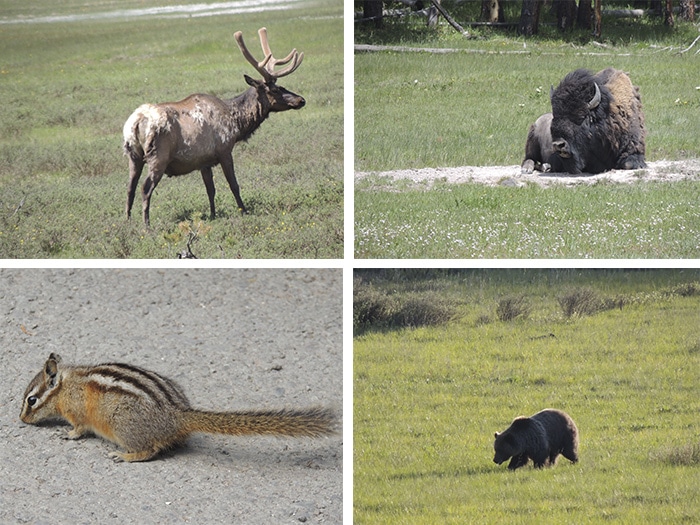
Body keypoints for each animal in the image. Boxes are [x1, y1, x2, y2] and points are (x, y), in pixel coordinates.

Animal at [122, 27, 306, 225]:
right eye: (276, 90)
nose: (301, 100)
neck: (237, 125)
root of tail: (136, 122)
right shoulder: (224, 150)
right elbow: (234, 184)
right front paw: (244, 211)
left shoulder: (204, 161)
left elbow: (210, 189)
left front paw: (213, 215)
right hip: (158, 156)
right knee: (145, 188)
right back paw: (146, 225)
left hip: (134, 155)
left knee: (130, 187)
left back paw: (127, 220)